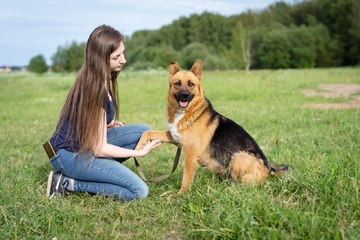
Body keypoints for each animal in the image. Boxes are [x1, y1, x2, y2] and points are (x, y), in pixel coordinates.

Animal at [135, 60, 286, 193]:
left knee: (247, 185)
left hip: (238, 157)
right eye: (177, 83)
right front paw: (137, 148)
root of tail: (269, 170)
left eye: (191, 84)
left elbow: (186, 178)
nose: (184, 96)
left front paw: (181, 195)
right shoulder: (175, 137)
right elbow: (148, 132)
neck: (185, 112)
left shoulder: (190, 153)